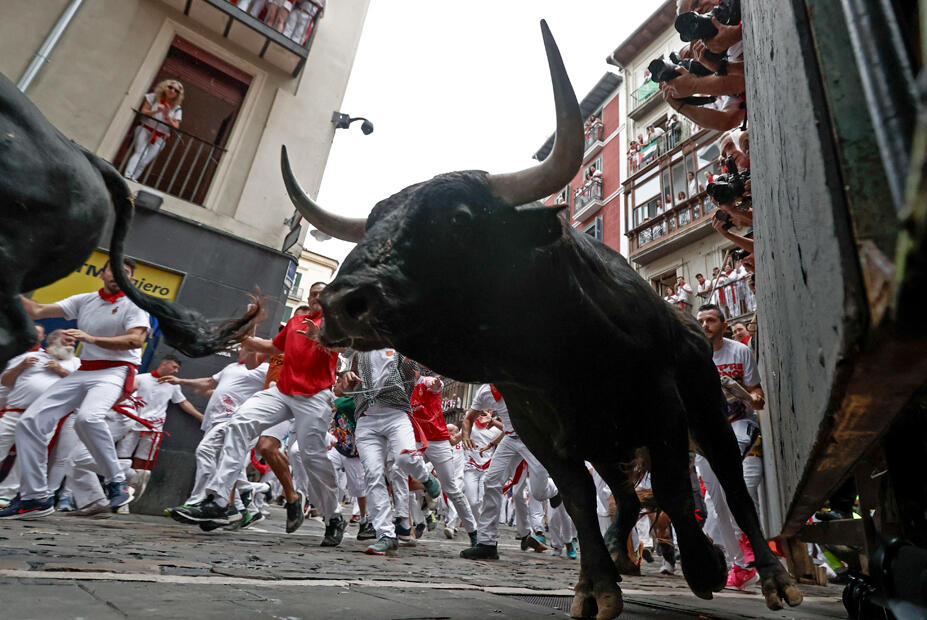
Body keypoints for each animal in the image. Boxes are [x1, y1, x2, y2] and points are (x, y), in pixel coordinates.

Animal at [280, 19, 804, 620]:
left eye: (460, 219)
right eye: (372, 225)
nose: (341, 301)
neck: (558, 357)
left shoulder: (664, 411)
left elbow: (676, 490)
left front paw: (704, 565)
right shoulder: (548, 434)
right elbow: (578, 500)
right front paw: (596, 586)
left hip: (708, 412)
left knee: (726, 484)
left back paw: (770, 577)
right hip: (610, 446)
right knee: (625, 497)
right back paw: (619, 554)